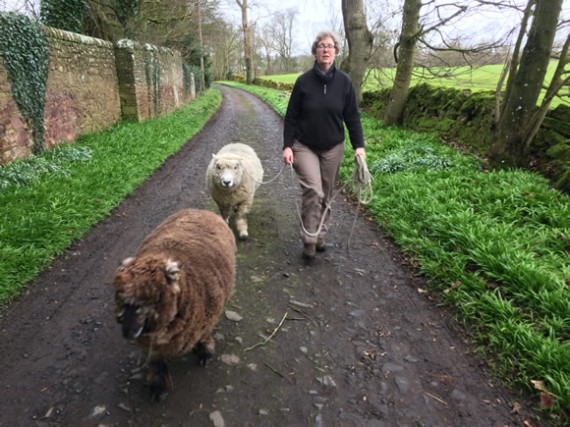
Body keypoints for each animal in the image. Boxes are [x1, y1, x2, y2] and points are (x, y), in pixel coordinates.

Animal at [110, 209, 234, 402]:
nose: (127, 332)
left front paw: (205, 352)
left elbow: (203, 338)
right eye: (122, 299)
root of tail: (200, 210)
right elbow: (156, 361)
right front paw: (158, 385)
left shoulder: (206, 321)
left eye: (154, 298)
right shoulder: (153, 344)